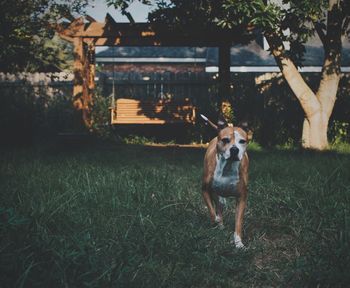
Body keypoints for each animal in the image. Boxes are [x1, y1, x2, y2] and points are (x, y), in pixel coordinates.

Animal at [200, 113, 249, 249]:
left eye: (242, 141)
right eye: (225, 140)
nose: (234, 149)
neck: (227, 167)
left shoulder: (242, 198)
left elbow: (238, 222)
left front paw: (238, 242)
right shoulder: (205, 190)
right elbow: (212, 211)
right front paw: (216, 220)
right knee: (218, 205)